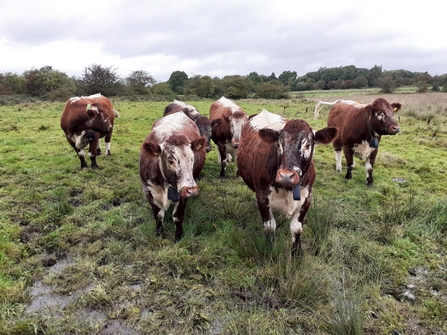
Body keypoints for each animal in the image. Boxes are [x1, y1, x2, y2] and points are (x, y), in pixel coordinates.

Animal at [139, 113, 207, 242]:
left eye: (192, 158)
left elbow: (178, 216)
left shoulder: (183, 194)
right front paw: (159, 233)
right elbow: (158, 215)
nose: (192, 190)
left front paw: (179, 236)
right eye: (171, 161)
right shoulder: (148, 191)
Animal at [238, 110, 336, 258]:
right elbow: (269, 227)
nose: (286, 176)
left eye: (308, 145)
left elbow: (296, 229)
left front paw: (296, 254)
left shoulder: (307, 197)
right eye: (279, 144)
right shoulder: (262, 196)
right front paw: (270, 250)